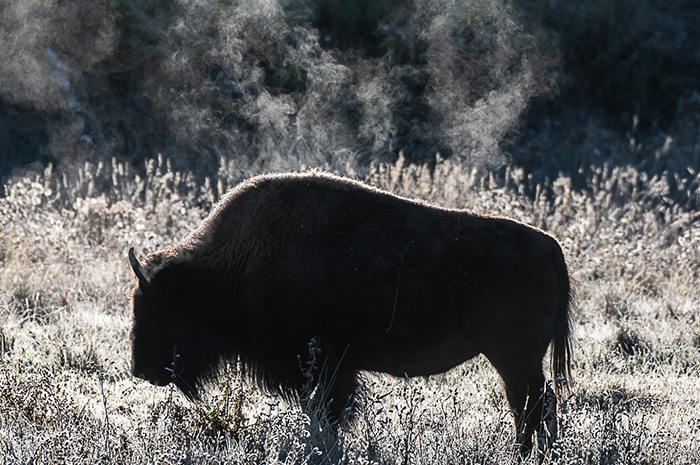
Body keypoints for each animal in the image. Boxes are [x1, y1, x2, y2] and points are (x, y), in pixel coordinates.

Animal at [129, 169, 572, 454]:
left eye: (156, 309)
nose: (141, 368)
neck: (233, 266)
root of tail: (549, 244)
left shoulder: (327, 367)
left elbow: (327, 413)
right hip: (518, 361)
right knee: (537, 406)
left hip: (513, 359)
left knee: (531, 406)